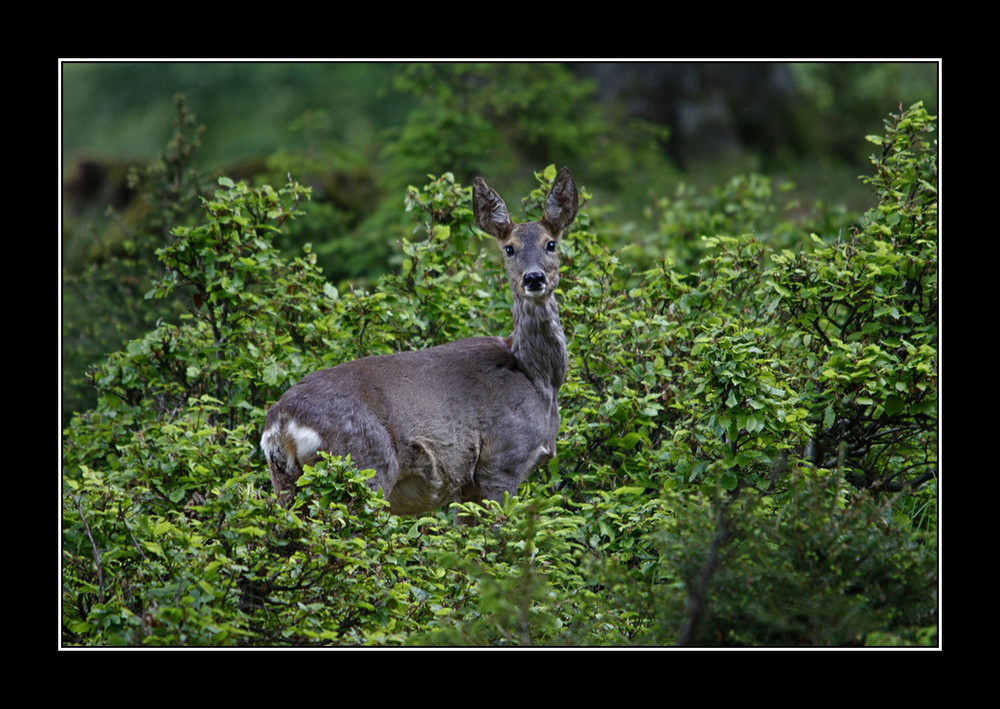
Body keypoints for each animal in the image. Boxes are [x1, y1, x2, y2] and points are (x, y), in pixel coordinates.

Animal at [258, 166, 580, 520]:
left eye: (551, 244)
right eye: (509, 248)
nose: (533, 278)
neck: (537, 376)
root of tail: (281, 424)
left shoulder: (465, 486)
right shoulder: (501, 460)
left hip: (286, 481)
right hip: (363, 464)